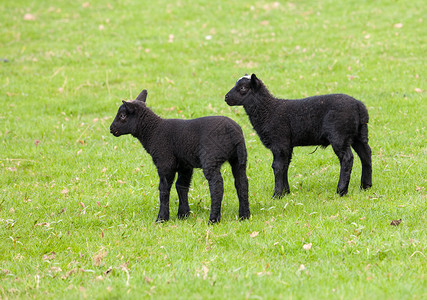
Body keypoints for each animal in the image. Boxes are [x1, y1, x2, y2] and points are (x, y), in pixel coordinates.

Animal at [109, 89, 251, 223]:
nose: (111, 129)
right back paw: (244, 216)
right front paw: (183, 214)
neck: (153, 131)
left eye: (122, 115)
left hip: (211, 158)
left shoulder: (165, 163)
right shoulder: (185, 165)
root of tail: (233, 132)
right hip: (239, 159)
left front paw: (162, 218)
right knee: (242, 183)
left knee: (217, 186)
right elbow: (181, 186)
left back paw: (213, 219)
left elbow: (164, 189)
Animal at [226, 73, 372, 197]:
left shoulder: (279, 142)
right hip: (358, 135)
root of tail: (359, 106)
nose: (226, 98)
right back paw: (366, 186)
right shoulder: (286, 145)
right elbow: (285, 165)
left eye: (243, 88)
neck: (268, 110)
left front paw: (277, 194)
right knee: (366, 154)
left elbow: (277, 166)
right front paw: (286, 192)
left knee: (347, 158)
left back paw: (341, 191)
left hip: (339, 135)